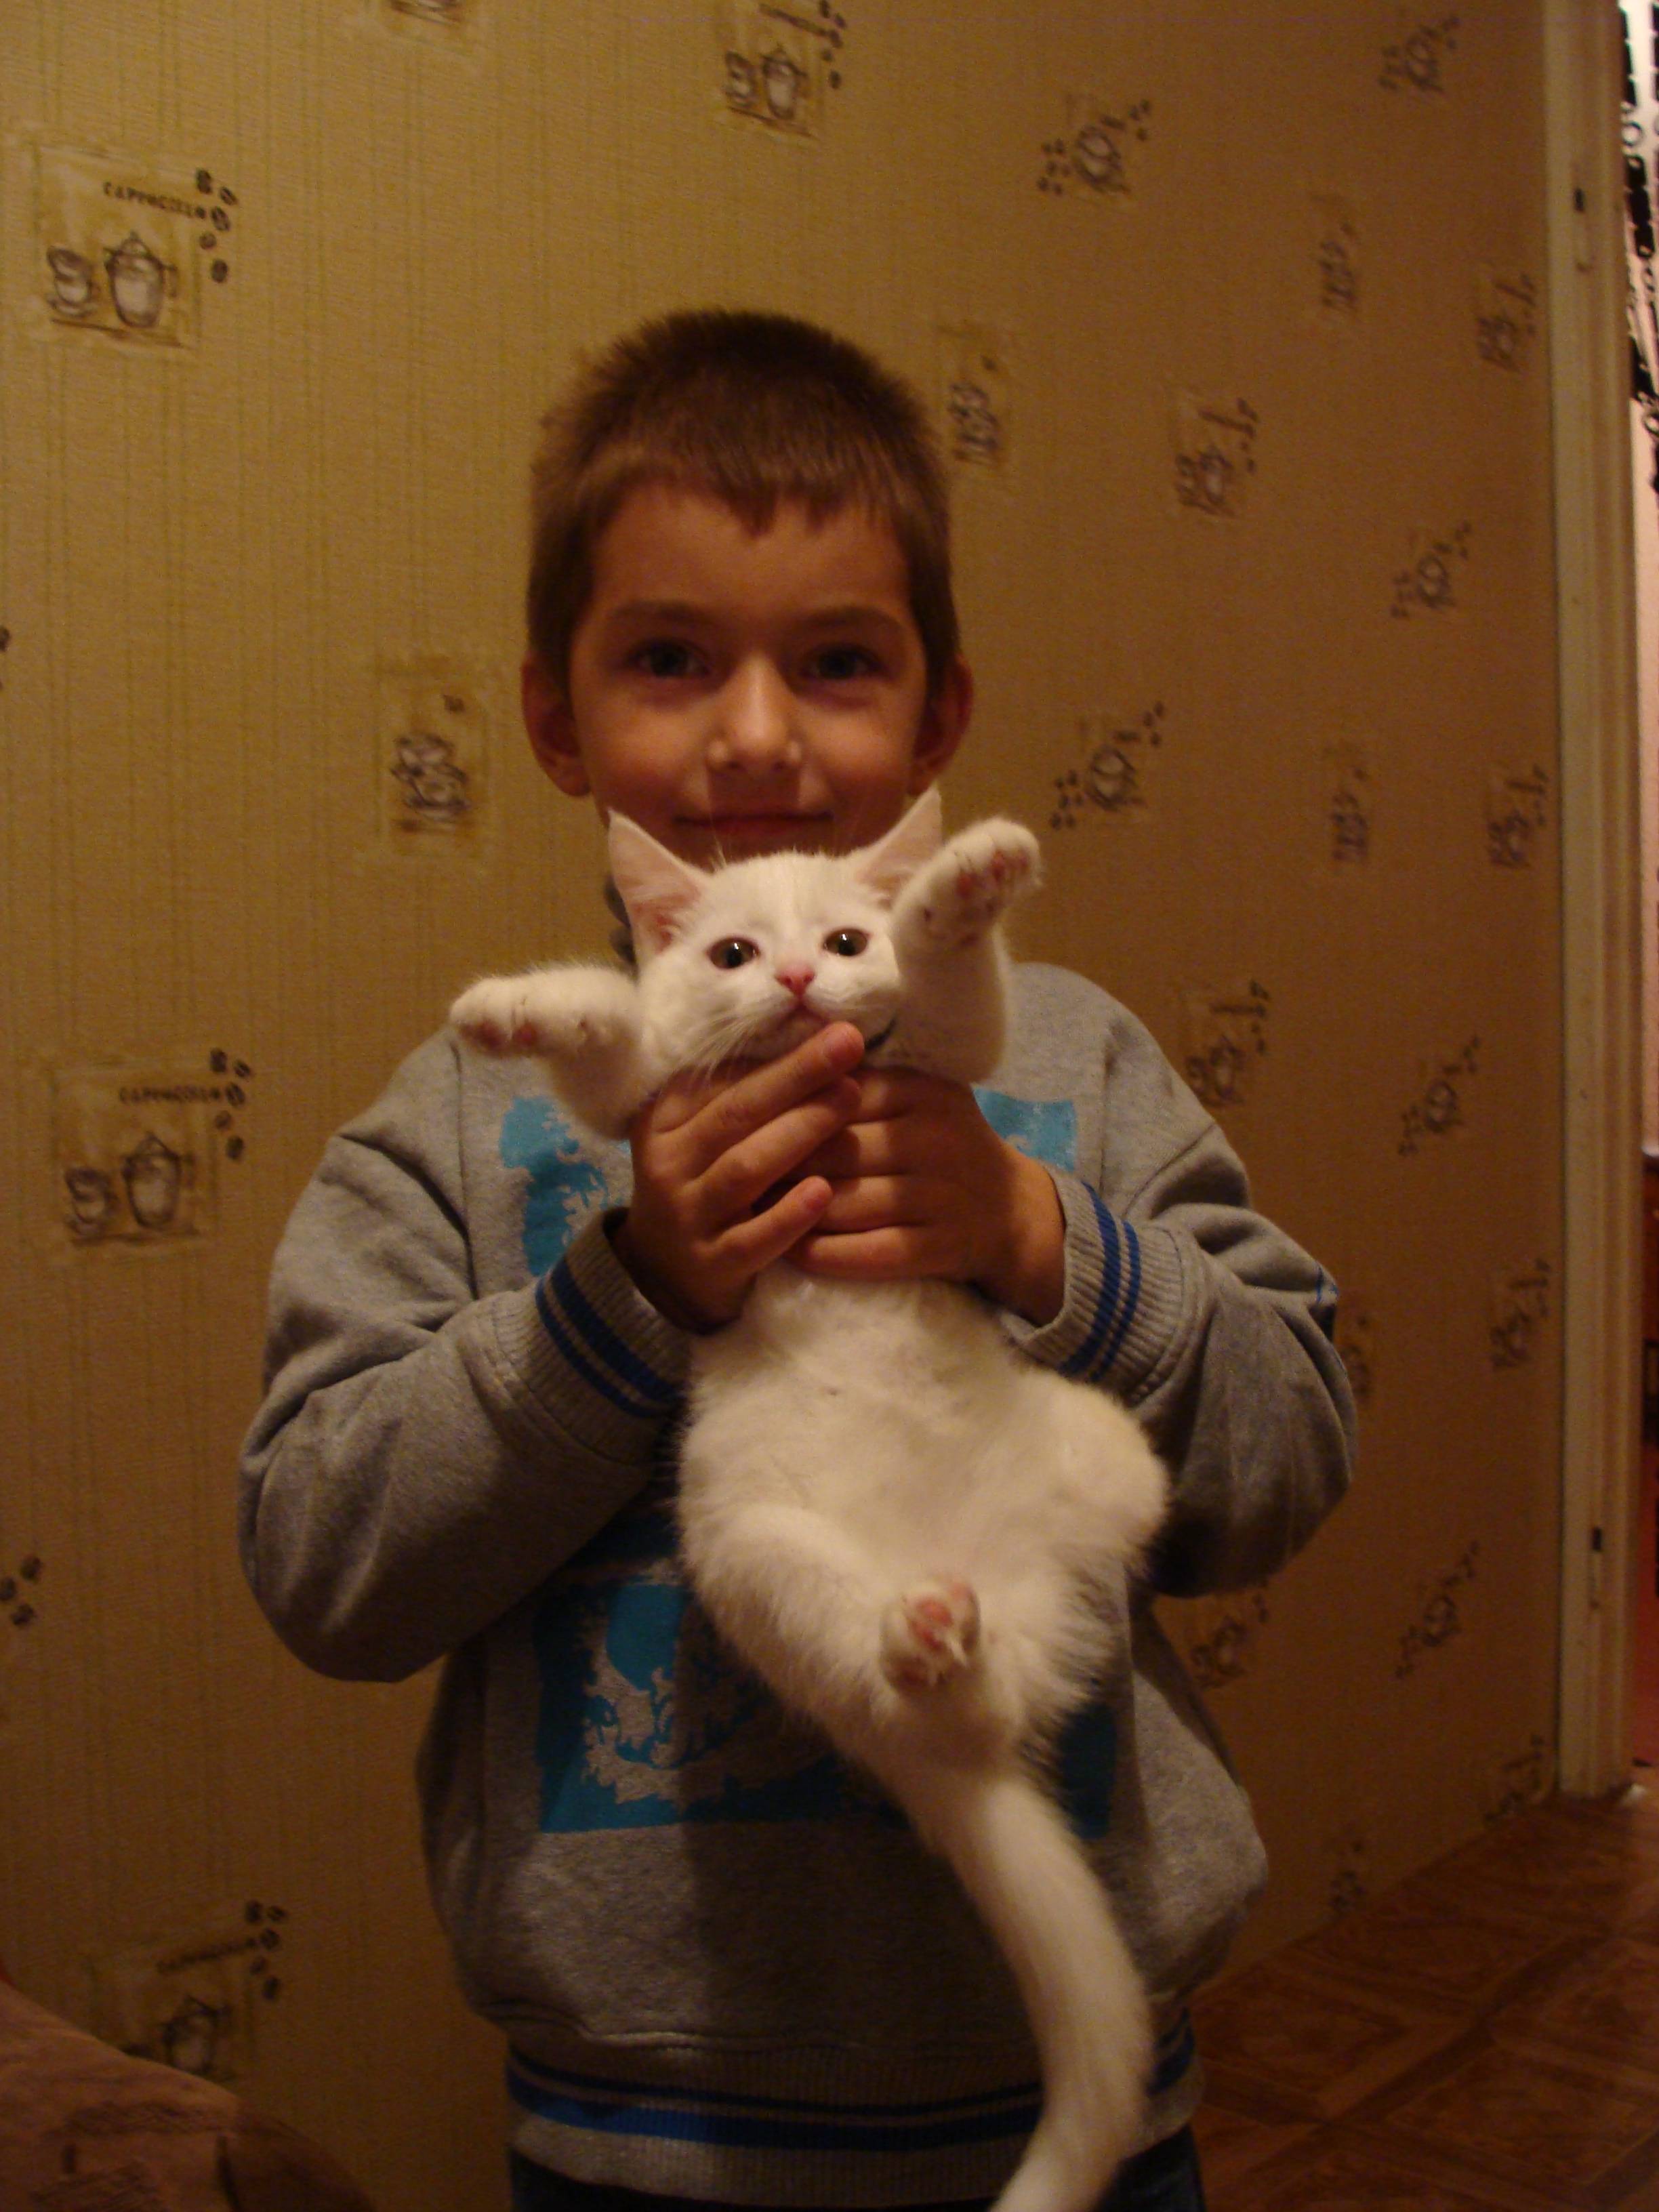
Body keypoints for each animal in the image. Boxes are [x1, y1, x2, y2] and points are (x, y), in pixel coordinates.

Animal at [450, 789, 1169, 2212]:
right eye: (730, 952)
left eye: (843, 937)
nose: (792, 978)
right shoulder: (649, 1104)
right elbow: (615, 1033)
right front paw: (521, 1007)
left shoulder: (942, 1066)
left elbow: (956, 1000)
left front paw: (958, 892)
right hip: (755, 1555)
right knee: (929, 1685)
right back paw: (920, 1634)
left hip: (1109, 1457)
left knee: (1007, 1670)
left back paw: (945, 1635)